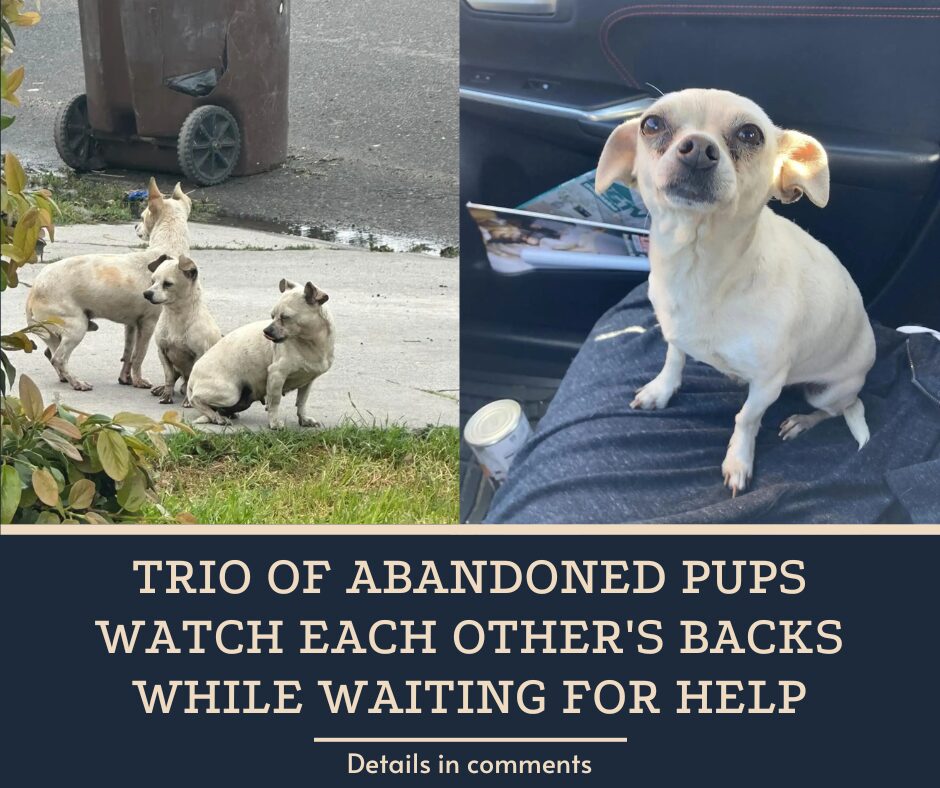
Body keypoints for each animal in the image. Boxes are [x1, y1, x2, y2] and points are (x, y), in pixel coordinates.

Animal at [25, 177, 192, 390]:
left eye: (142, 217)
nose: (135, 226)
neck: (166, 249)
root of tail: (34, 290)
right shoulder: (148, 324)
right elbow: (140, 355)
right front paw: (138, 380)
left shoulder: (132, 325)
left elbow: (128, 355)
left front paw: (126, 379)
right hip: (77, 326)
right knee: (58, 358)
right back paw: (77, 382)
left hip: (59, 331)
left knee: (51, 354)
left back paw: (65, 377)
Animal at [141, 255, 222, 410]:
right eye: (152, 281)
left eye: (167, 284)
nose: (146, 293)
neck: (176, 316)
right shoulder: (163, 352)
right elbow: (168, 377)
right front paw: (166, 396)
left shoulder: (198, 355)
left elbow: (190, 378)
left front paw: (187, 401)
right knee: (175, 377)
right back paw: (162, 389)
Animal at [186, 278, 334, 428]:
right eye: (272, 316)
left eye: (285, 317)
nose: (266, 331)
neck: (310, 343)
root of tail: (191, 379)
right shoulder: (276, 374)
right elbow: (275, 402)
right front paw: (274, 423)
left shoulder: (307, 382)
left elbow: (302, 402)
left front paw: (304, 419)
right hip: (230, 393)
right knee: (196, 400)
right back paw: (216, 417)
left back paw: (222, 414)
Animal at [596, 86, 872, 492]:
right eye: (652, 124)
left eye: (750, 134)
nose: (697, 147)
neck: (698, 269)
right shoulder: (674, 333)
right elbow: (673, 359)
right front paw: (662, 389)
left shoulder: (768, 385)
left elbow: (746, 418)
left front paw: (738, 460)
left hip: (828, 390)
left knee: (837, 410)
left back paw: (802, 421)